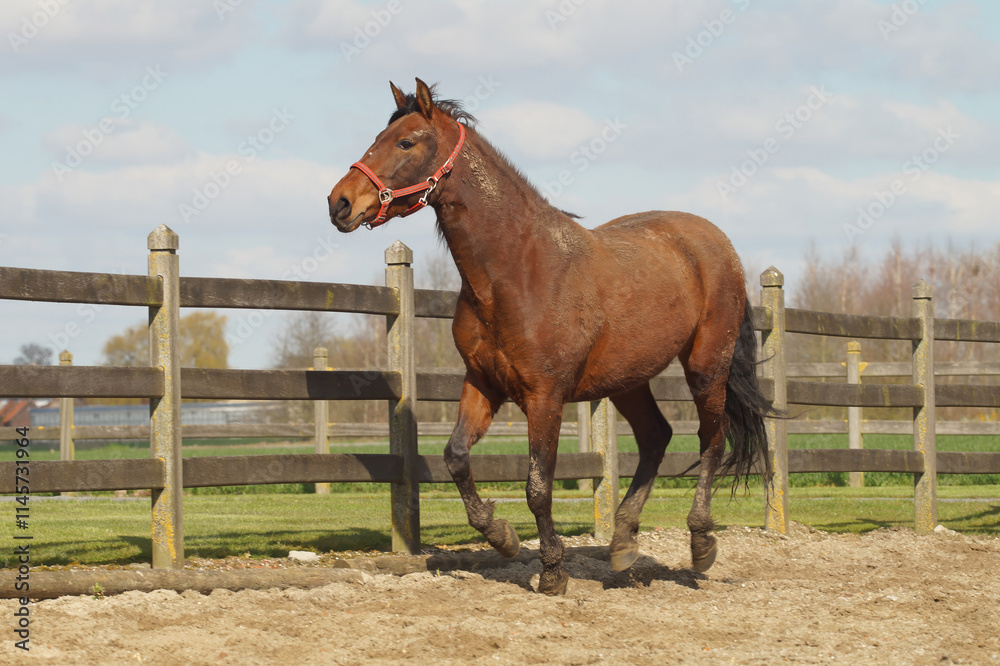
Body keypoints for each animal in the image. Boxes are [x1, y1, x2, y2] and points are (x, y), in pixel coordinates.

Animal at [327, 78, 772, 595]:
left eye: (405, 142)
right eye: (378, 137)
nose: (339, 202)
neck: (517, 271)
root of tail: (718, 243)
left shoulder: (545, 397)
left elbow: (538, 487)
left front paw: (553, 570)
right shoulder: (483, 383)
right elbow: (455, 456)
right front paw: (502, 537)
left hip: (706, 367)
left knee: (710, 440)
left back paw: (701, 544)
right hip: (628, 380)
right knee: (656, 437)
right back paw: (623, 544)